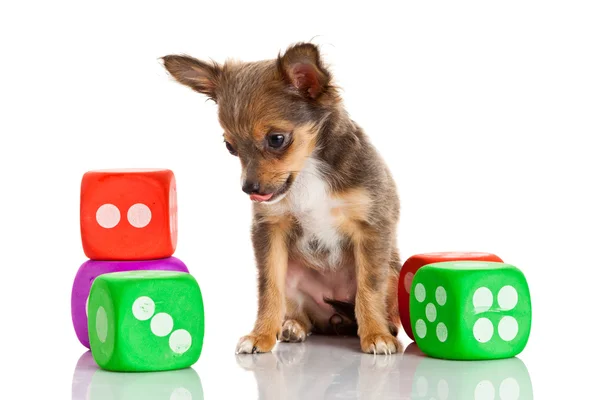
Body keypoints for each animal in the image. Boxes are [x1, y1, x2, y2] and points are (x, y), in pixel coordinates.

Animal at [162, 43, 400, 356]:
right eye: (230, 147)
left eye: (276, 139)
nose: (248, 188)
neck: (308, 171)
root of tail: (334, 322)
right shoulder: (270, 231)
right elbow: (268, 288)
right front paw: (261, 335)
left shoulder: (372, 226)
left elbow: (369, 288)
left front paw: (375, 334)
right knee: (303, 316)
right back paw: (292, 326)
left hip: (394, 273)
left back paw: (388, 327)